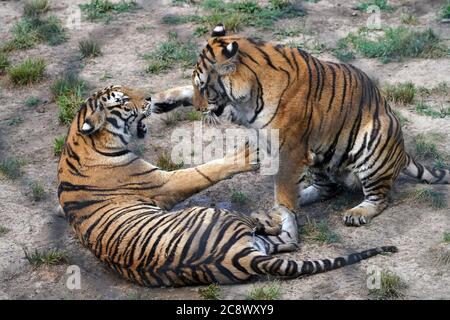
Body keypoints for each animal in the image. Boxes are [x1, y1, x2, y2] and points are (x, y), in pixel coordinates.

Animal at [57, 85, 398, 288]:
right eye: (124, 100)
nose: (150, 99)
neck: (81, 141)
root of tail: (237, 257)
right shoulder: (165, 183)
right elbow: (204, 170)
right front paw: (249, 154)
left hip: (258, 244)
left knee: (287, 241)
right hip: (219, 216)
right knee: (282, 230)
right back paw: (276, 209)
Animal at [149, 24, 448, 245]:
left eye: (204, 86)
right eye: (196, 86)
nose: (200, 109)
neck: (249, 90)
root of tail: (402, 151)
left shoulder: (290, 149)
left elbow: (282, 189)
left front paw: (283, 221)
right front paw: (161, 100)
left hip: (372, 146)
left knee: (380, 197)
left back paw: (357, 212)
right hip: (320, 155)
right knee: (327, 188)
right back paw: (297, 198)